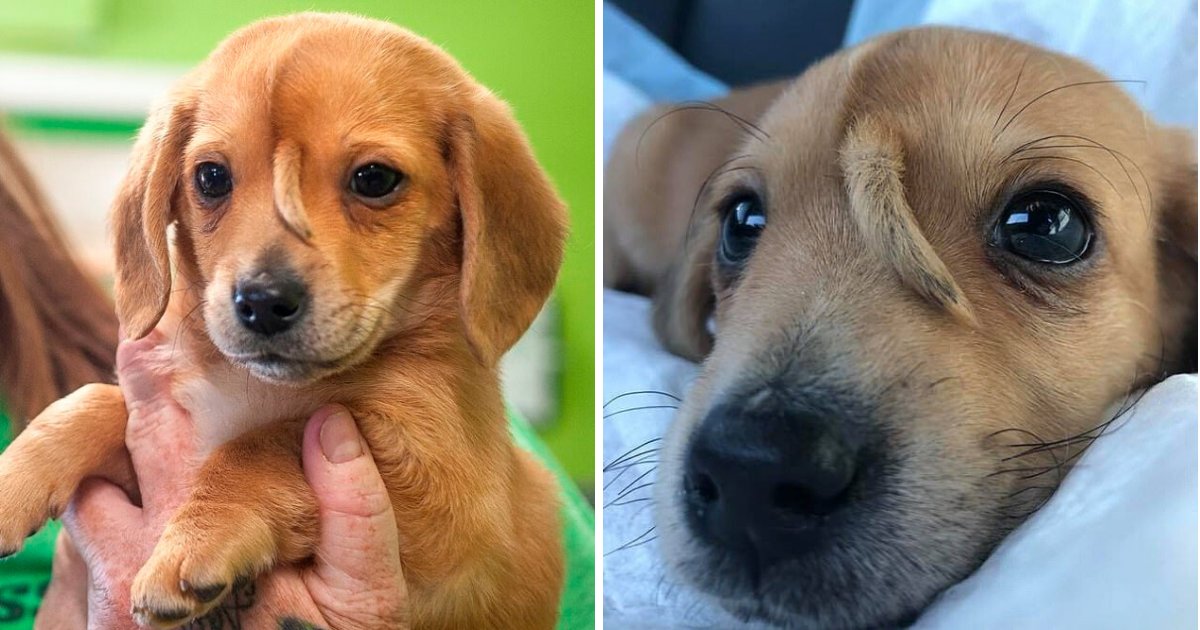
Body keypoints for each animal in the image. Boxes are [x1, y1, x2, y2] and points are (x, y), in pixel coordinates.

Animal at [0, 11, 566, 628]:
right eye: (210, 177)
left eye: (374, 179)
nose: (262, 301)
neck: (254, 386)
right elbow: (94, 401)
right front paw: (13, 481)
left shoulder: (446, 500)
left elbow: (265, 445)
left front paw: (198, 538)